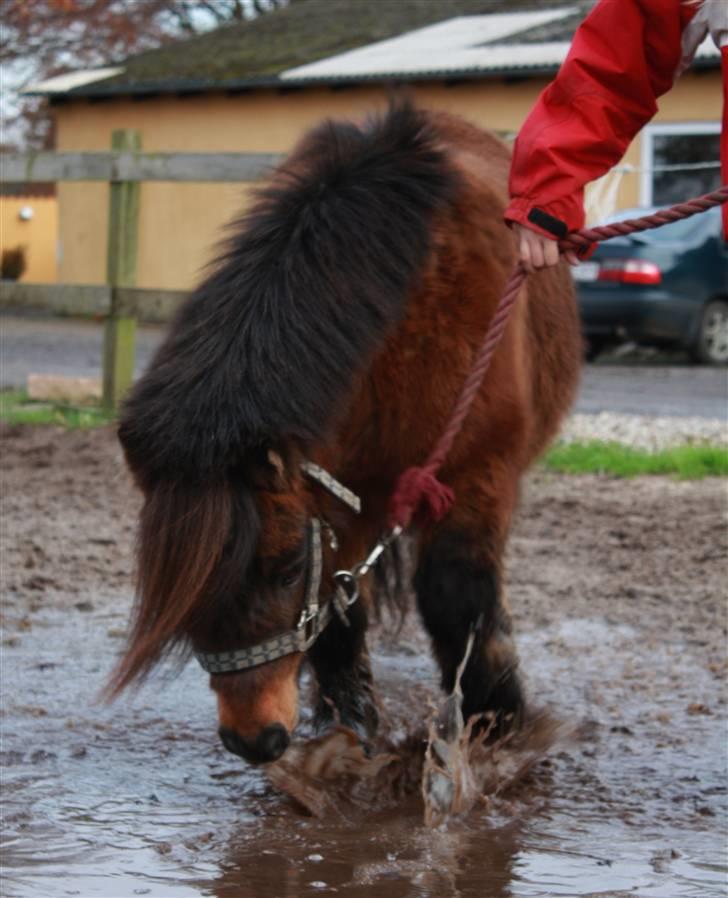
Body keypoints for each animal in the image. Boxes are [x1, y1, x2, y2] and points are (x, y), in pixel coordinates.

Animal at [111, 103, 584, 764]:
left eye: (287, 568)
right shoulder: (335, 490)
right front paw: (348, 727)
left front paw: (496, 724)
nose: (254, 740)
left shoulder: (477, 474)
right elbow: (338, 605)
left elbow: (457, 593)